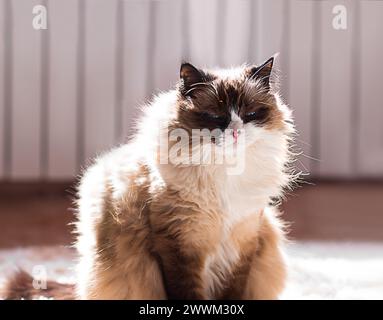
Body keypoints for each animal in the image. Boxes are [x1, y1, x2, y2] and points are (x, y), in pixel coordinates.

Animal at [3, 56, 296, 298]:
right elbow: (186, 293)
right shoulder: (178, 246)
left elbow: (234, 291)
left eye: (250, 115)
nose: (235, 131)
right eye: (216, 117)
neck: (225, 174)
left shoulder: (243, 245)